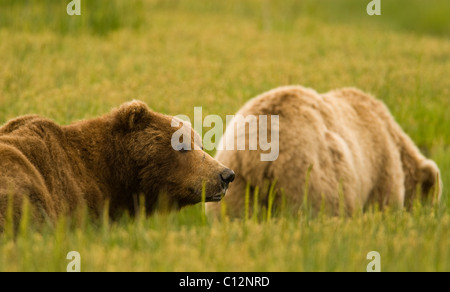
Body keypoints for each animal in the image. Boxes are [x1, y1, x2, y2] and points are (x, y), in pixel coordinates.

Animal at [207, 85, 442, 218]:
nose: (429, 216)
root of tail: (255, 151)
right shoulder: (381, 163)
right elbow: (384, 202)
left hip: (238, 184)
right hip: (308, 175)